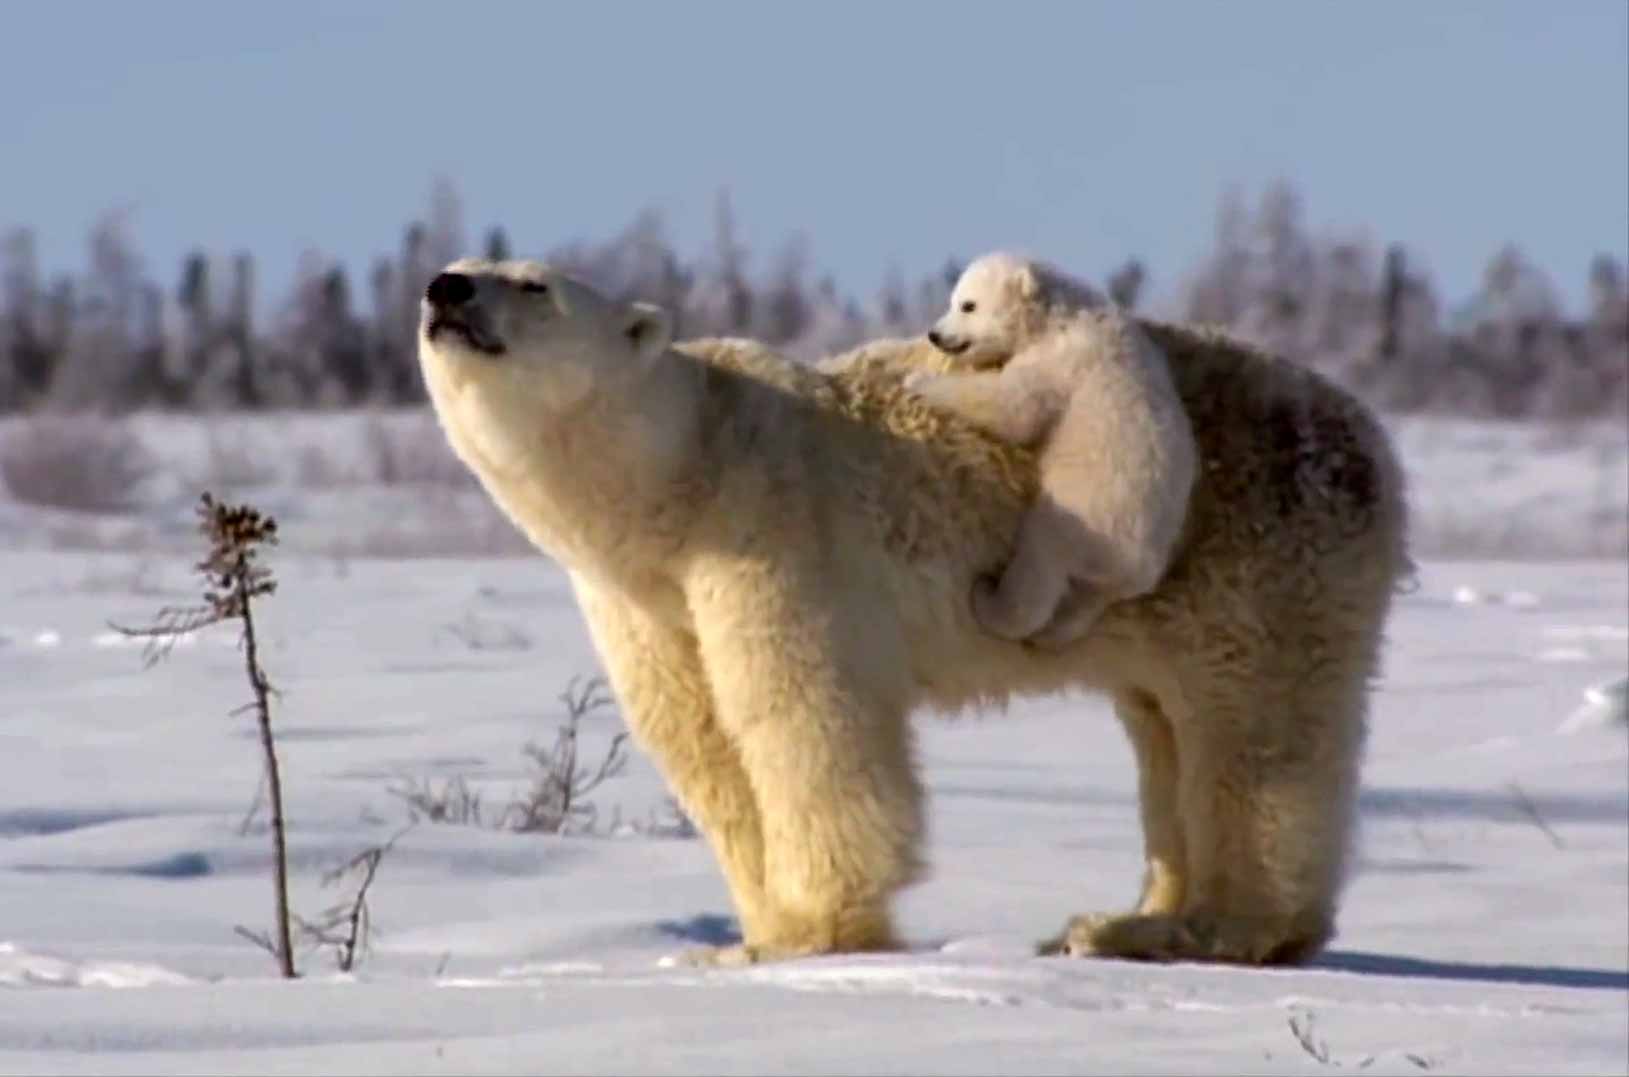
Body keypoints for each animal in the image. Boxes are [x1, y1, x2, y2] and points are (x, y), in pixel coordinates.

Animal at [908, 252, 1198, 648]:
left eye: (968, 305)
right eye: (954, 300)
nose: (935, 335)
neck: (1057, 316)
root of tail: (1137, 564)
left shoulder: (1059, 363)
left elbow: (1014, 407)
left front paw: (919, 382)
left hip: (1081, 520)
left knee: (1037, 569)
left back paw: (988, 598)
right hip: (1112, 566)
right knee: (1084, 602)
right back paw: (1053, 632)